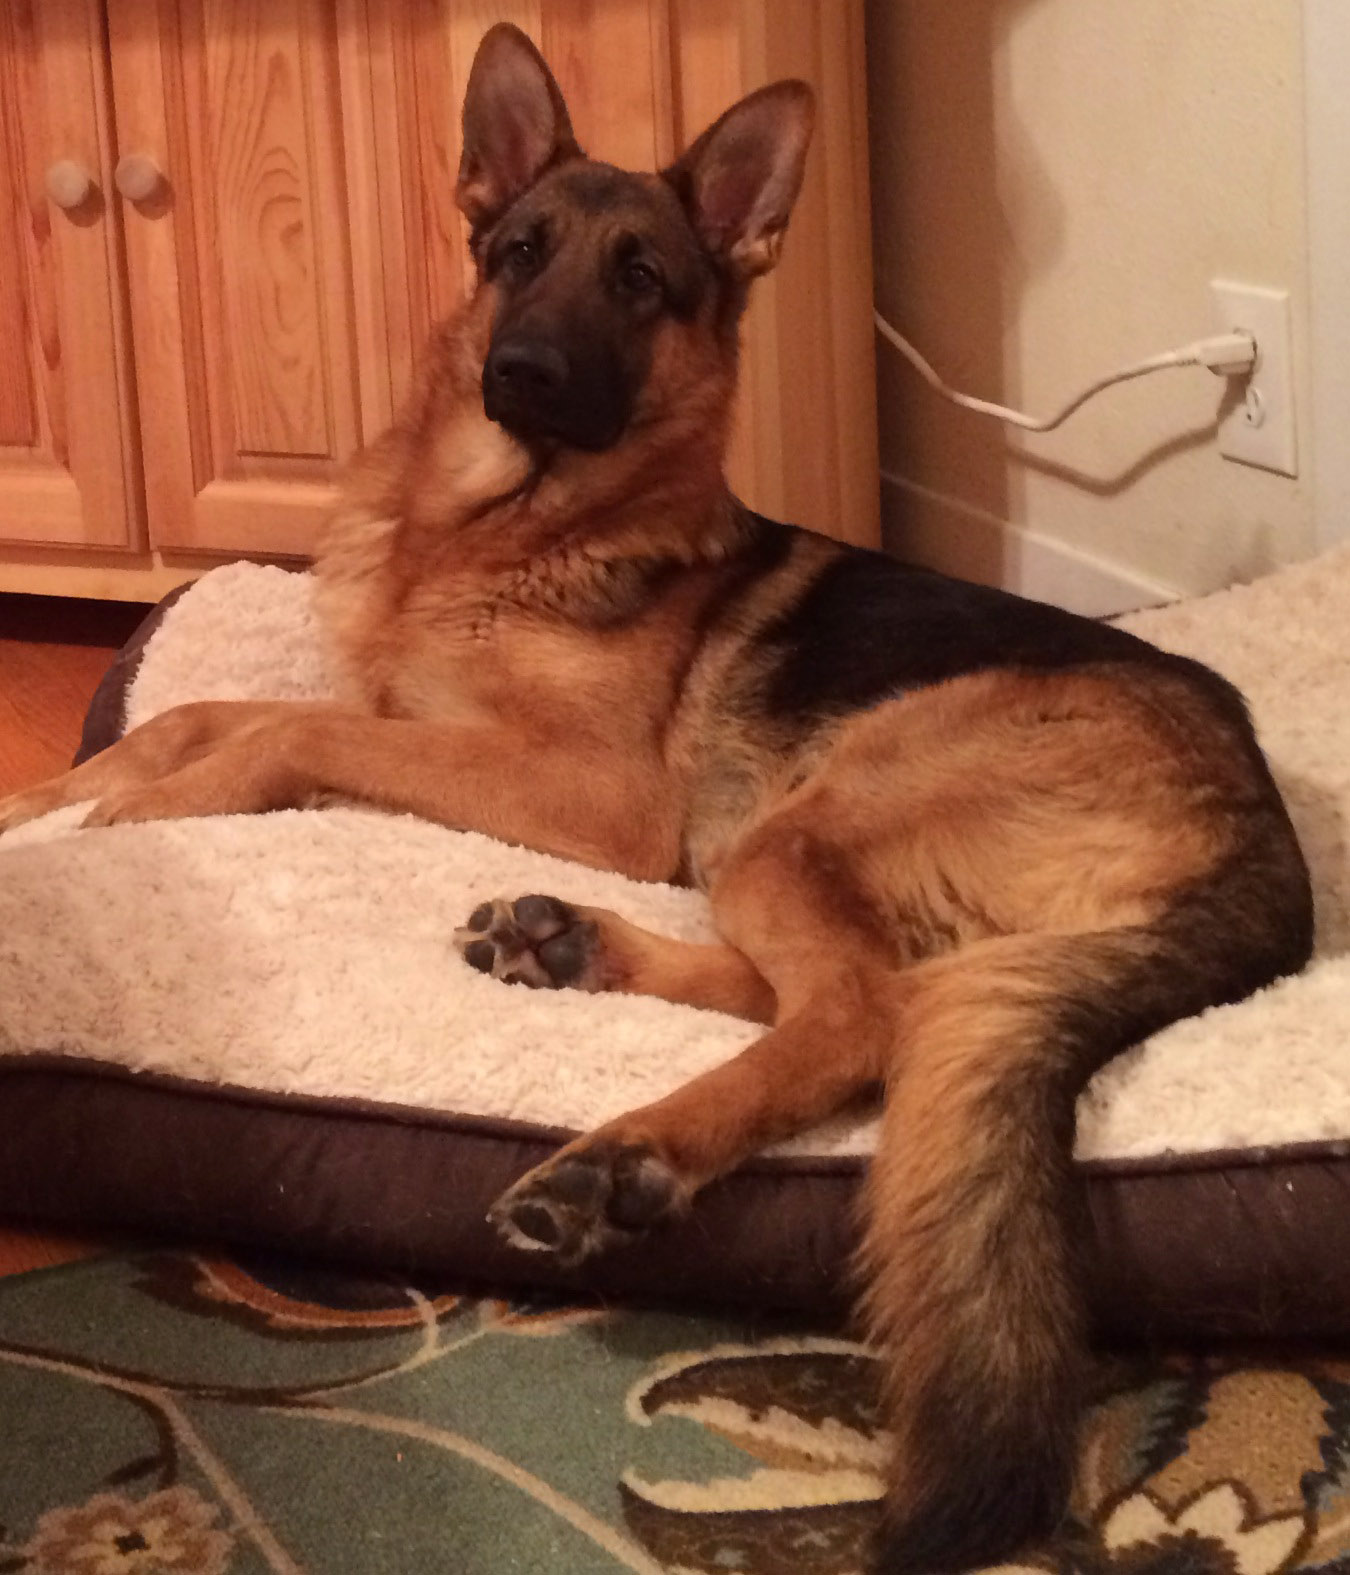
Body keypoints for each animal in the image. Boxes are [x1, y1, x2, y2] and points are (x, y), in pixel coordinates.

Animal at [0, 24, 1304, 1575]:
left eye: (639, 279)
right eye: (516, 251)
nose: (521, 367)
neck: (500, 525)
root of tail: (1265, 849)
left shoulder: (593, 793)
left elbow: (284, 739)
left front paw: (146, 816)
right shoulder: (406, 713)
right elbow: (210, 714)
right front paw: (52, 797)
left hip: (806, 815)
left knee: (863, 1012)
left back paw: (623, 1155)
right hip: (770, 846)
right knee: (842, 987)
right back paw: (566, 946)